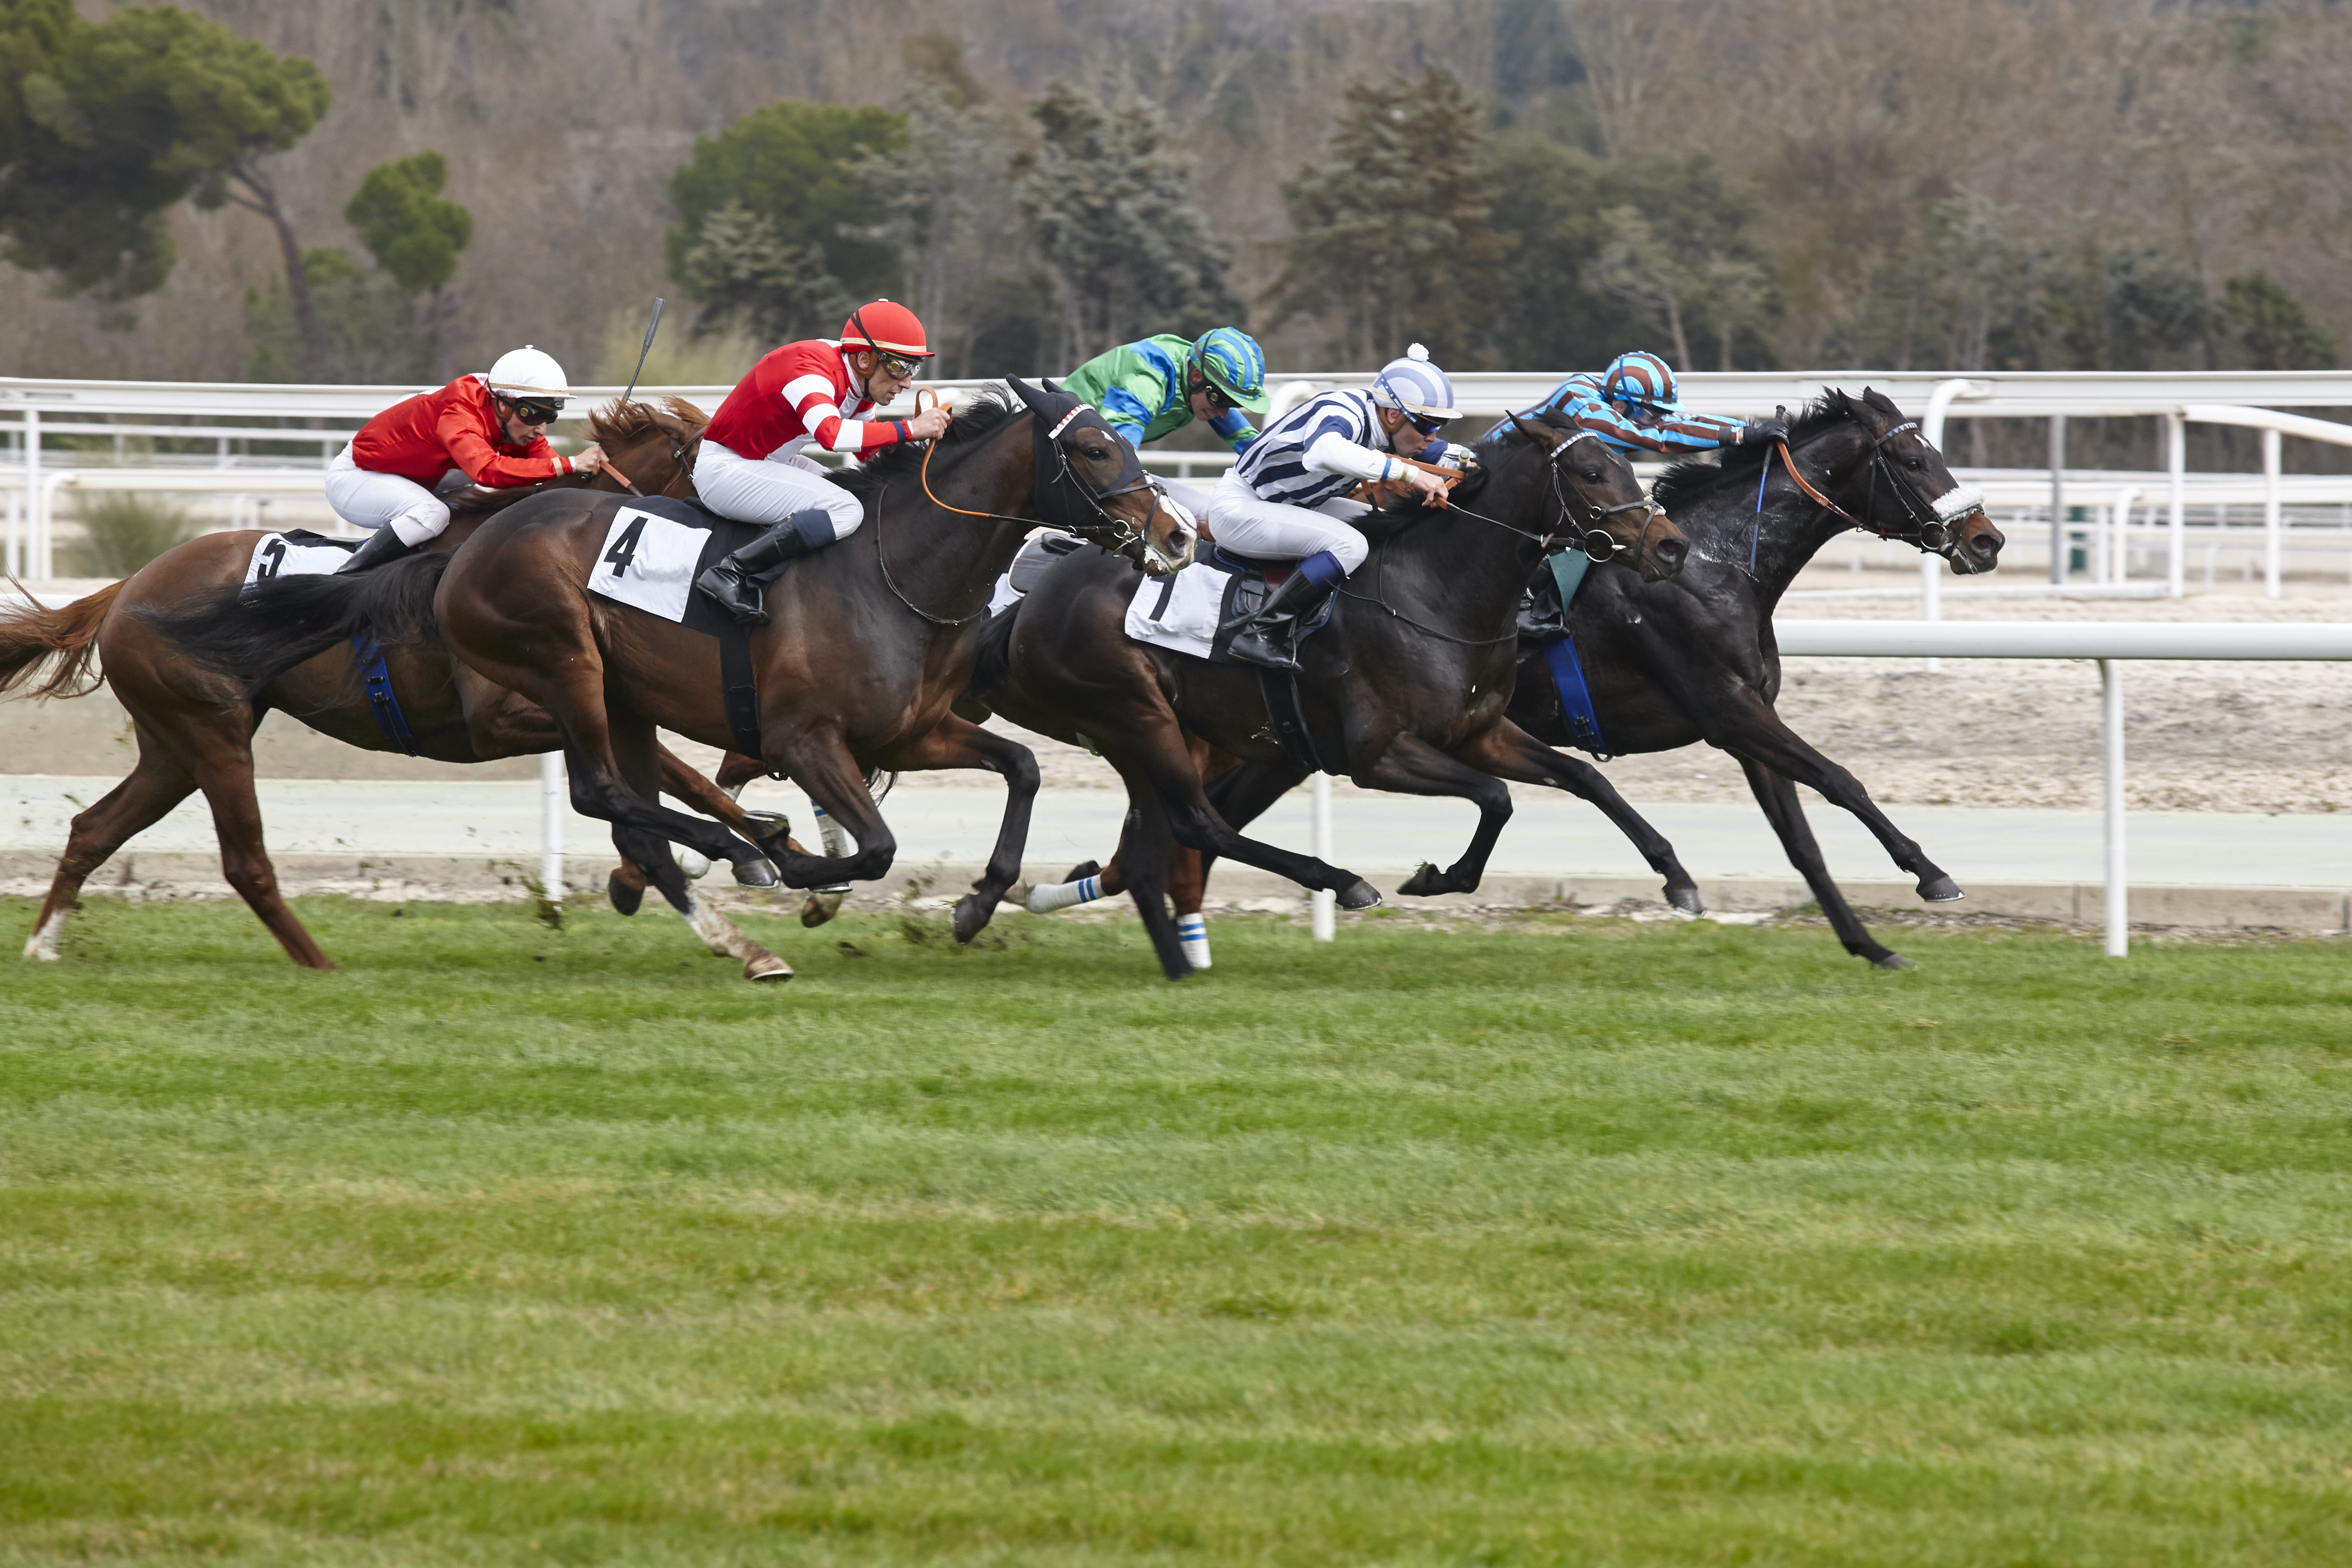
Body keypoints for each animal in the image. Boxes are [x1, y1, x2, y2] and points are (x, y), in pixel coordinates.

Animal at [0, 399, 776, 968]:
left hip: (173, 744)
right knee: (245, 861)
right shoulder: (503, 718)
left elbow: (683, 777)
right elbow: (651, 777)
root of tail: (127, 589)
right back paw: (321, 966)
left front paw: (758, 843)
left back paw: (44, 946)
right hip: (211, 733)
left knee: (94, 828)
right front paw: (676, 868)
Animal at [149, 376, 1185, 982]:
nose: (1175, 535)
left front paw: (977, 901)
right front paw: (800, 868)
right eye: (1094, 449)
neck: (896, 570)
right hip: (564, 661)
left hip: (622, 698)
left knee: (631, 799)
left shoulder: (911, 732)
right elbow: (875, 846)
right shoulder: (807, 739)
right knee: (605, 791)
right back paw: (740, 858)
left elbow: (1022, 767)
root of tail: (467, 548)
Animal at [964, 411, 1703, 973]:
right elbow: (1495, 798)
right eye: (1591, 474)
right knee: (1199, 823)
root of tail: (1028, 604)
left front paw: (1678, 879)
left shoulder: (1479, 730)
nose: (1671, 547)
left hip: (1142, 732)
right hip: (1136, 714)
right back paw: (1341, 882)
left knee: (1159, 840)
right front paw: (1438, 877)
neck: (1434, 591)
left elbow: (1584, 779)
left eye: (1625, 464)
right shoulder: (1376, 754)